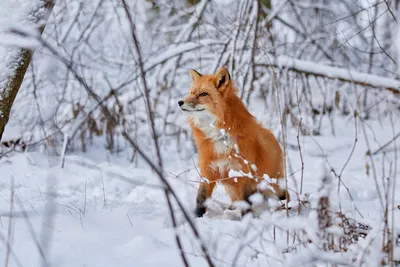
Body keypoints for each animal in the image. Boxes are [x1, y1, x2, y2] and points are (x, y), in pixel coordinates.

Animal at [180, 67, 290, 218]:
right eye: (191, 92)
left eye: (203, 94)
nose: (180, 102)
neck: (220, 137)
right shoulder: (208, 169)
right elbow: (201, 197)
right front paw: (197, 217)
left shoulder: (244, 172)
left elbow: (247, 201)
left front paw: (247, 220)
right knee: (237, 200)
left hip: (273, 184)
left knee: (284, 195)